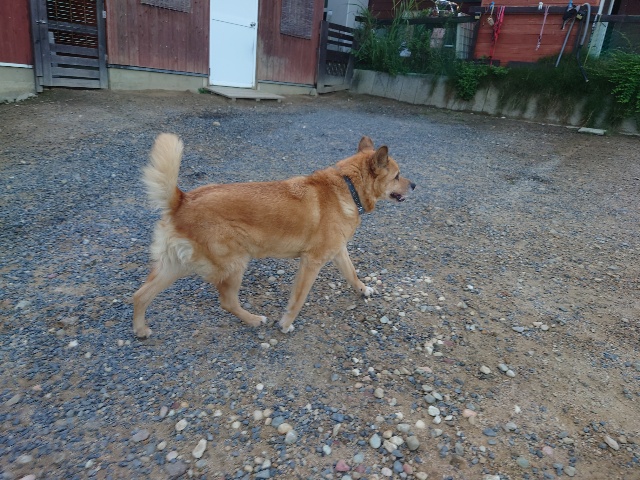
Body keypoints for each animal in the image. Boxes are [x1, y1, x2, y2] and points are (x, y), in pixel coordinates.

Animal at [133, 134, 415, 338]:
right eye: (397, 176)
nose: (414, 185)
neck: (348, 187)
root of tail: (182, 201)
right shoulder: (311, 262)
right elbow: (298, 300)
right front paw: (286, 323)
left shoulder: (338, 252)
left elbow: (352, 273)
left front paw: (363, 289)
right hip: (235, 263)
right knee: (227, 301)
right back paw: (254, 320)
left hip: (176, 266)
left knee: (140, 295)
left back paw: (140, 329)